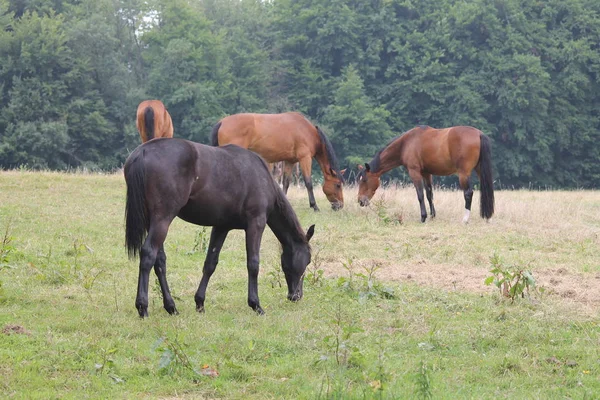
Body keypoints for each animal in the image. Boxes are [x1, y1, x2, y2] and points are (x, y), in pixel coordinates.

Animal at [125, 138, 316, 318]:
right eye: (307, 260)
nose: (296, 296)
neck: (263, 177)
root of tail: (142, 152)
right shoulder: (256, 223)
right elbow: (253, 263)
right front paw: (255, 305)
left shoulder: (221, 227)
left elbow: (210, 263)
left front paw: (200, 303)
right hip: (163, 219)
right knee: (148, 254)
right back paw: (143, 307)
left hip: (153, 221)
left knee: (159, 261)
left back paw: (171, 307)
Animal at [211, 111, 344, 211]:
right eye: (338, 185)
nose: (340, 206)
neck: (308, 132)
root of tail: (222, 122)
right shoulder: (304, 158)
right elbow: (308, 183)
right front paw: (314, 206)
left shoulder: (290, 162)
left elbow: (285, 183)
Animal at [358, 125, 494, 223]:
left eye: (364, 180)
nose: (360, 201)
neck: (406, 143)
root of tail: (479, 134)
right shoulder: (426, 174)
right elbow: (429, 194)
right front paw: (432, 215)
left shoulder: (415, 172)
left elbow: (420, 195)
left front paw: (423, 217)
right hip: (479, 170)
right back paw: (488, 217)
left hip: (463, 174)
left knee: (468, 193)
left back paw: (465, 219)